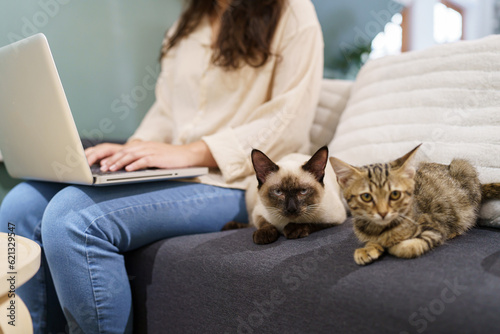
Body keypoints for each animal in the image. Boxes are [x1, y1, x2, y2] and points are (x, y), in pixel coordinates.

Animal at [332, 145, 500, 264]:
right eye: (366, 196)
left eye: (395, 194)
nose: (383, 212)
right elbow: (372, 241)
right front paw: (368, 249)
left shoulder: (434, 226)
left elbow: (411, 246)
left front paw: (395, 245)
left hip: (464, 169)